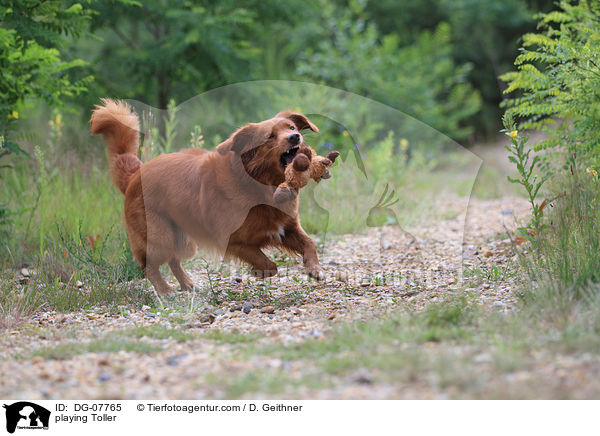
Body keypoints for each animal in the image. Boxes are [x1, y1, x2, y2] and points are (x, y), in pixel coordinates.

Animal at [89, 100, 326, 294]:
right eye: (270, 136)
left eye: (292, 128)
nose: (295, 137)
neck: (261, 185)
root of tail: (135, 173)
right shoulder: (234, 240)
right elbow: (267, 262)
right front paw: (261, 272)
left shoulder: (287, 227)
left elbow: (309, 242)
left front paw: (314, 268)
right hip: (160, 236)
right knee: (149, 265)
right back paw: (165, 291)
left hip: (182, 238)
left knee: (174, 260)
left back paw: (187, 284)